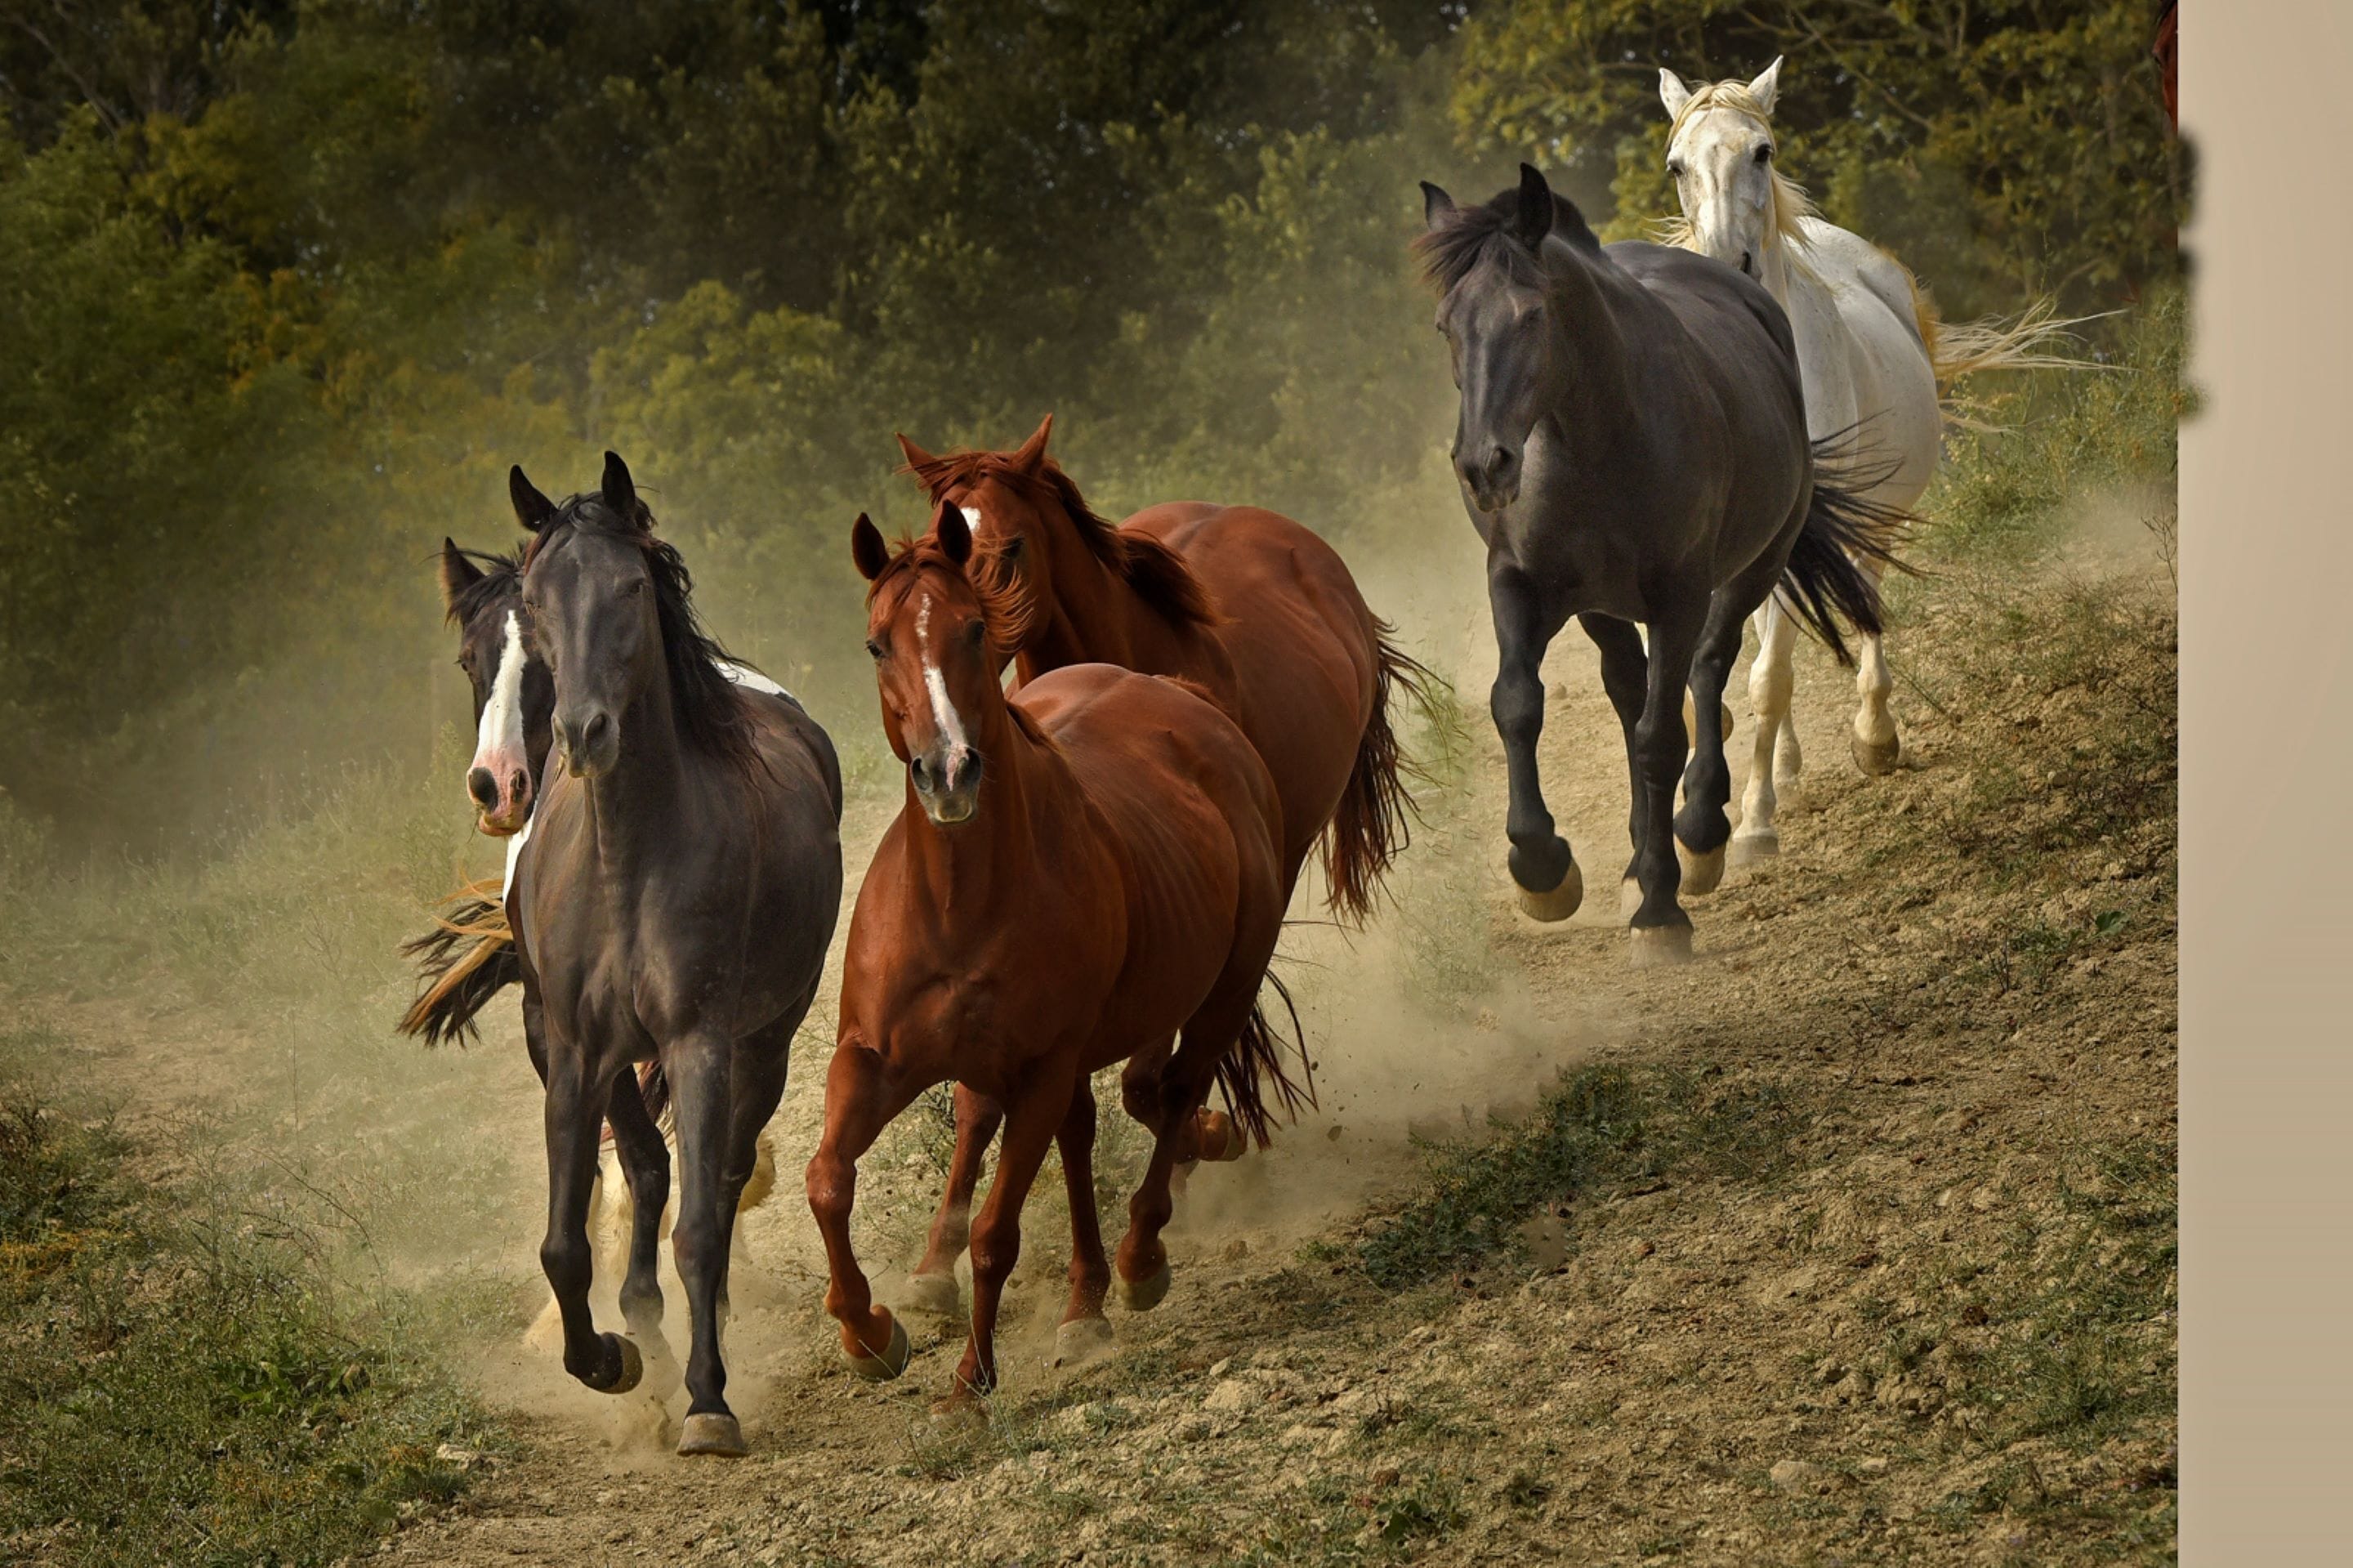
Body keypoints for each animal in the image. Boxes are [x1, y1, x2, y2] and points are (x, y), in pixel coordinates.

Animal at [509, 452, 844, 1457]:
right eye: (534, 596)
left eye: (629, 586)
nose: (583, 732)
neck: (632, 857)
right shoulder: (576, 1051)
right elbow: (565, 1242)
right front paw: (612, 1358)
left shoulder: (700, 1041)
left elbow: (699, 1222)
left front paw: (706, 1400)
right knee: (652, 1169)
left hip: (765, 1041)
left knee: (722, 1180)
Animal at [807, 507, 1307, 1402]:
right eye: (875, 644)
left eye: (974, 627)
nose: (948, 773)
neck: (957, 905)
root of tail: (1186, 700)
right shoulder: (870, 1058)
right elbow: (828, 1179)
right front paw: (870, 1333)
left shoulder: (1040, 1069)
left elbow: (997, 1234)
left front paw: (968, 1386)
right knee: (1070, 1132)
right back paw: (1077, 1300)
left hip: (1222, 991)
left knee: (1175, 1095)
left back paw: (1138, 1260)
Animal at [887, 415, 1429, 1318]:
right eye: (937, 542)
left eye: (1009, 548)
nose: (951, 719)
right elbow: (994, 1098)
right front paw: (934, 1263)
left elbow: (1150, 1078)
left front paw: (1205, 1138)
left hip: (1274, 865)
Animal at [1415, 163, 1907, 963]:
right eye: (1446, 324)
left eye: (1531, 315)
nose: (1484, 466)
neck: (1596, 440)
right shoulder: (1519, 584)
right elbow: (1517, 703)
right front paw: (1543, 869)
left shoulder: (1679, 596)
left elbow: (1661, 736)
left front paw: (1661, 908)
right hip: (1603, 607)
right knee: (1628, 690)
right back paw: (1636, 858)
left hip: (1749, 571)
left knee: (1705, 676)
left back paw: (1699, 837)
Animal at [1656, 57, 2086, 857]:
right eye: (1676, 166)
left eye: (1762, 152)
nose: (1728, 268)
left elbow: (1769, 677)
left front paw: (1753, 826)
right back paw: (1791, 769)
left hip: (1872, 523)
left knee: (1865, 609)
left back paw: (1873, 740)